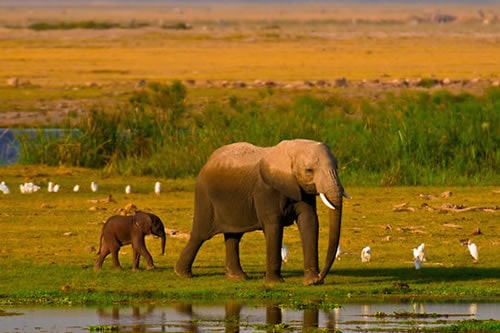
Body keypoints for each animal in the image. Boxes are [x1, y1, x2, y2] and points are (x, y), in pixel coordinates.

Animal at [174, 139, 350, 284]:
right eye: (309, 170)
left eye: (336, 167)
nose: (321, 277)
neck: (290, 152)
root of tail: (207, 161)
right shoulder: (265, 189)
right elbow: (273, 226)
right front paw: (275, 283)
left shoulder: (301, 189)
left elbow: (309, 221)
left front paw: (311, 282)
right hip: (205, 195)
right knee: (201, 234)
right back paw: (182, 274)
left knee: (234, 236)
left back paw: (237, 277)